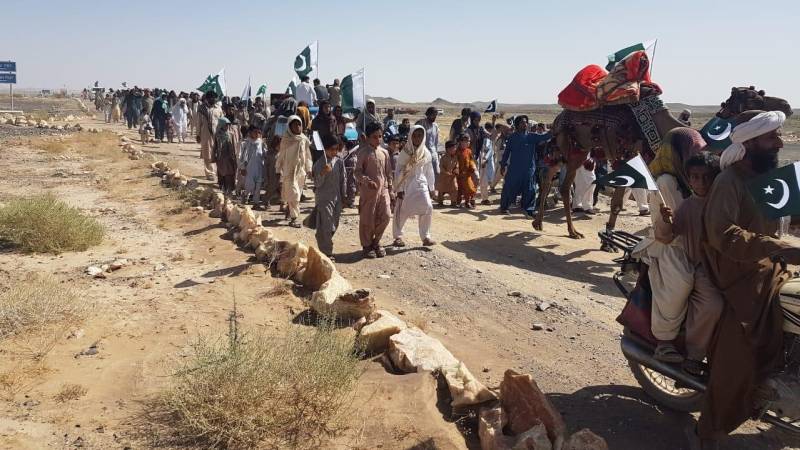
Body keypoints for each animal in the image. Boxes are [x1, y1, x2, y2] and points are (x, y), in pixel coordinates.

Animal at [536, 85, 792, 244]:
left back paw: (547, 225)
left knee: (553, 178)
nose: (787, 106)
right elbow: (619, 203)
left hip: (576, 148)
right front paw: (608, 240)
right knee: (555, 179)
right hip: (569, 144)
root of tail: (557, 119)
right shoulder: (632, 157)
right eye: (755, 97)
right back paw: (562, 228)